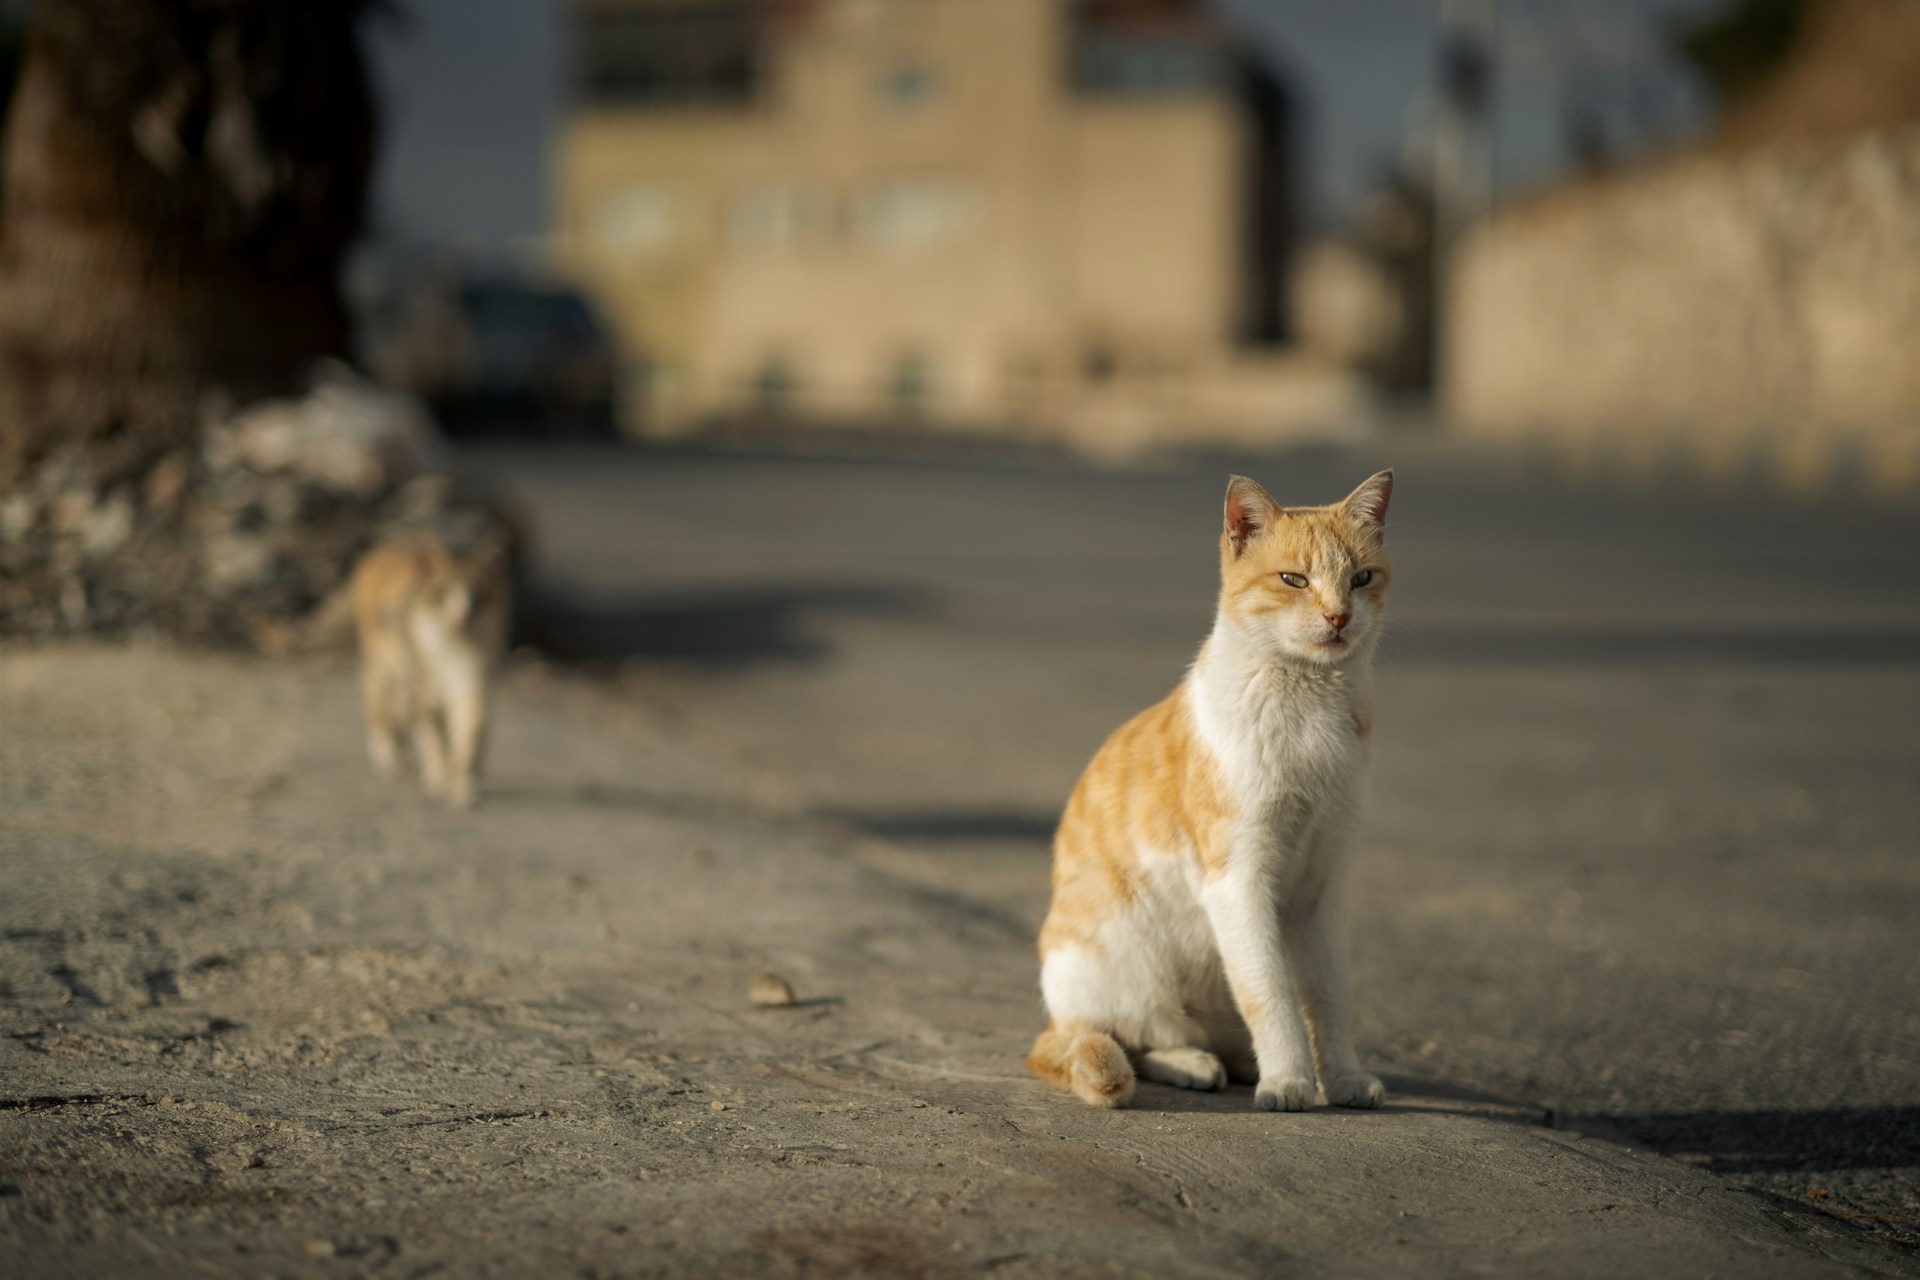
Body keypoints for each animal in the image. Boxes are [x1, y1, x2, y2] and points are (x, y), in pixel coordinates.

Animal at [353, 510, 518, 809]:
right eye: (444, 590)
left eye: (478, 591)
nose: (462, 613)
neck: (454, 646)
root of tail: (393, 541)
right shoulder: (424, 687)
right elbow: (433, 736)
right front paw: (438, 780)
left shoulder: (475, 678)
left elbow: (468, 729)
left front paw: (463, 786)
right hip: (382, 663)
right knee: (379, 705)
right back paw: (390, 755)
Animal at [1036, 470, 1397, 1113]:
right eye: (1293, 579)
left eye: (1361, 578)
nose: (1338, 617)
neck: (1309, 705)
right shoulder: (1237, 881)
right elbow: (1270, 993)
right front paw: (1289, 1080)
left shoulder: (1324, 884)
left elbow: (1328, 997)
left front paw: (1342, 1077)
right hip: (1128, 962)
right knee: (1128, 1039)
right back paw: (1195, 1063)